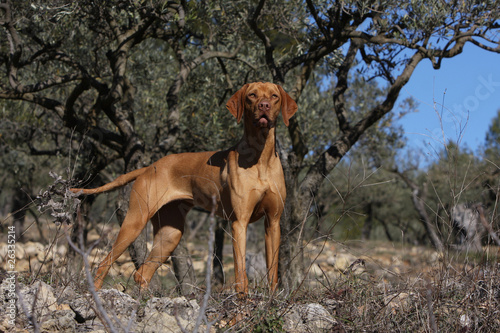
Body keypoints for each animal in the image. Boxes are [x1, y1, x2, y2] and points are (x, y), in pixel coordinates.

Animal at [70, 81, 296, 294]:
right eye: (252, 95)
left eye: (274, 96)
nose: (264, 105)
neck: (261, 158)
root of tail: (149, 166)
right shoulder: (239, 223)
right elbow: (241, 273)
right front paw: (242, 304)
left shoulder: (273, 222)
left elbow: (273, 272)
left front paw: (271, 300)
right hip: (135, 221)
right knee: (104, 263)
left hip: (171, 234)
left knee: (142, 273)